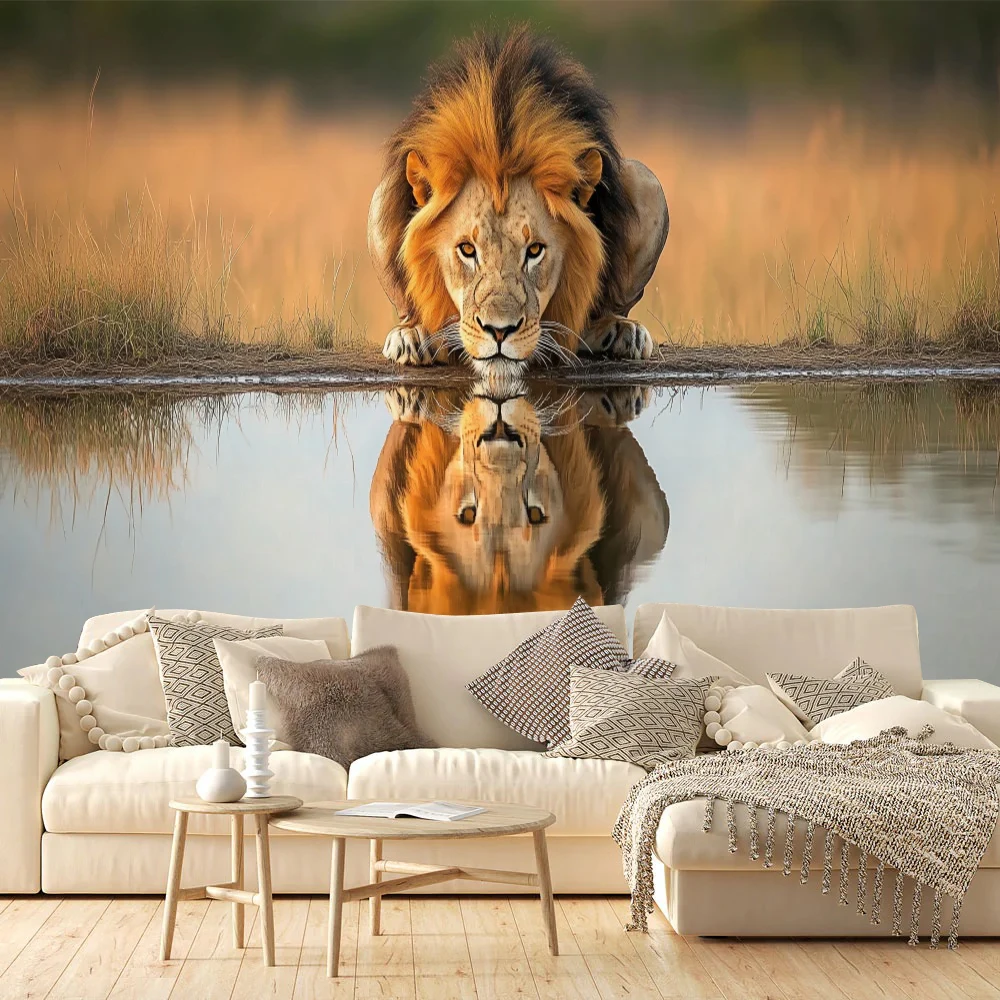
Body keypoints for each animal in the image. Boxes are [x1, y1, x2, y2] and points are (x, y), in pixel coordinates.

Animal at [368, 28, 669, 369]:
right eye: (467, 249)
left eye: (535, 250)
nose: (500, 331)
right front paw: (414, 337)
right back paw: (412, 335)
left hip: (648, 180)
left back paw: (621, 332)